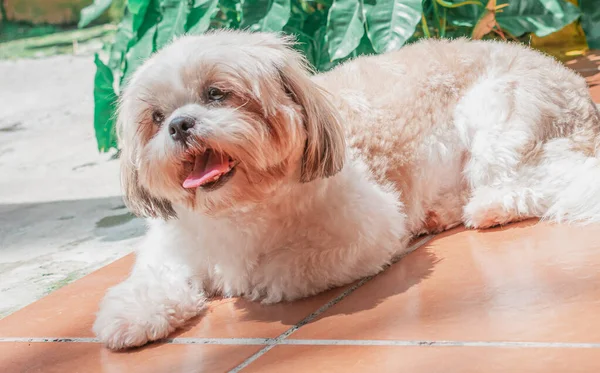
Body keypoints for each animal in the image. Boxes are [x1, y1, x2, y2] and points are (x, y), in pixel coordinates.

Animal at [92, 29, 600, 348]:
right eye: (155, 117)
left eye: (217, 93)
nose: (179, 125)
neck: (239, 208)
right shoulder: (173, 245)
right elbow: (154, 278)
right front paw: (131, 315)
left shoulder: (365, 231)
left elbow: (288, 268)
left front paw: (254, 280)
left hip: (496, 120)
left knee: (545, 180)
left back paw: (489, 206)